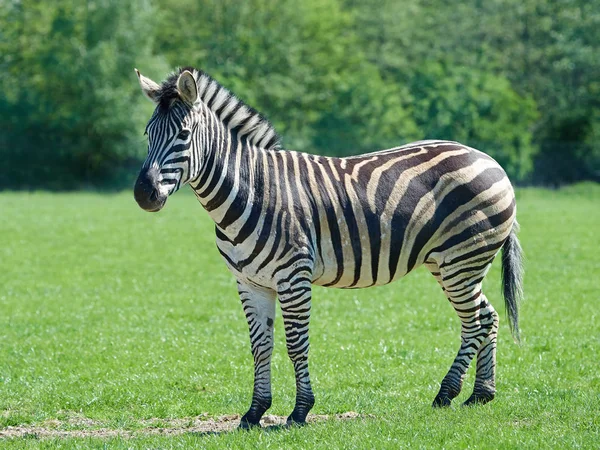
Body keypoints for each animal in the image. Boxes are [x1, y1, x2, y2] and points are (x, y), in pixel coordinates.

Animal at [134, 67, 524, 428]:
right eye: (147, 134)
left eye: (184, 135)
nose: (143, 195)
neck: (251, 189)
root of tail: (489, 160)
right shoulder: (250, 282)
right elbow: (260, 347)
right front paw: (254, 412)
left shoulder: (293, 277)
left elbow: (296, 343)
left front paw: (300, 411)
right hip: (452, 264)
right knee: (488, 315)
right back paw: (481, 393)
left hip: (462, 260)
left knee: (474, 321)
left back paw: (447, 393)